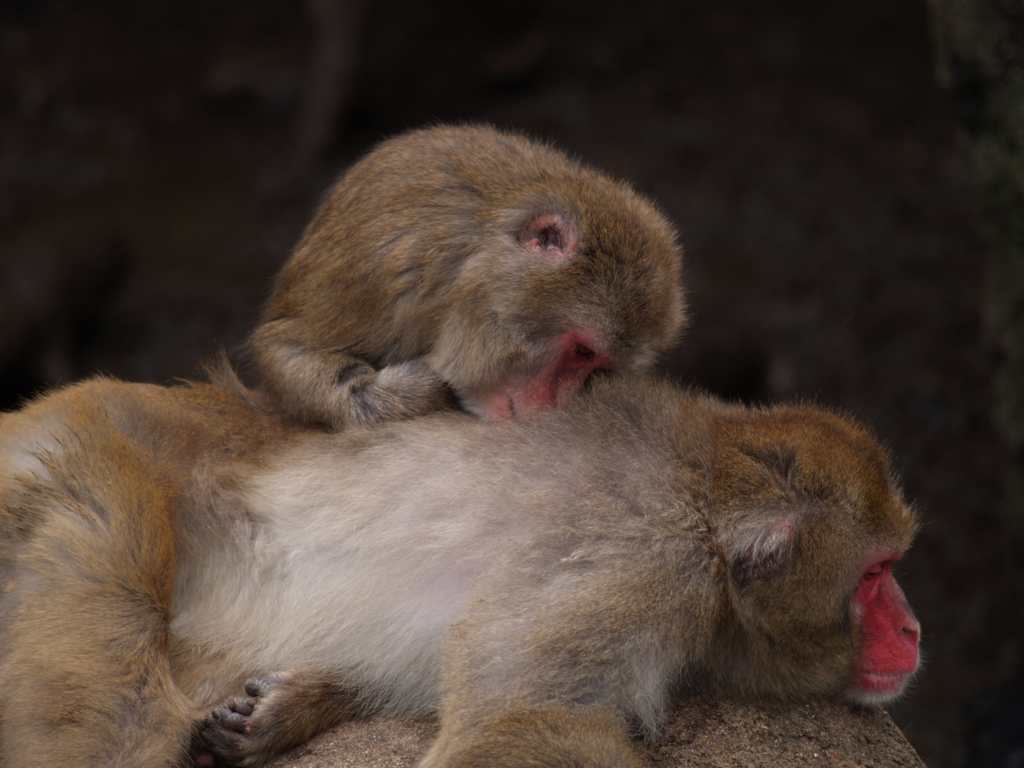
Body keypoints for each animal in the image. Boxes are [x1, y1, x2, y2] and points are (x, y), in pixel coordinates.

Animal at [0, 374, 921, 768]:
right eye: (876, 575)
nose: (912, 629)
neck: (698, 498)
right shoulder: (644, 565)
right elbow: (521, 720)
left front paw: (283, 705)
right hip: (81, 458)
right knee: (119, 718)